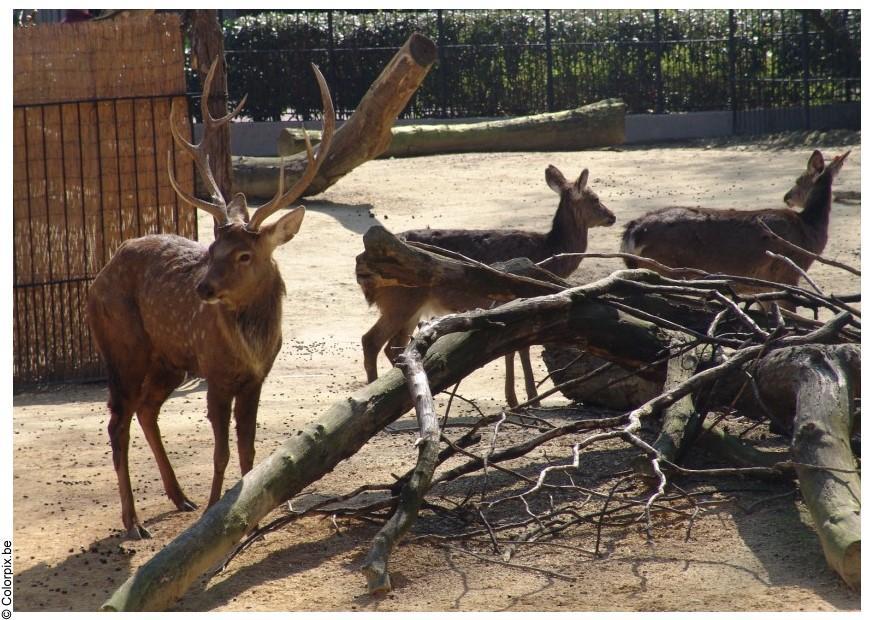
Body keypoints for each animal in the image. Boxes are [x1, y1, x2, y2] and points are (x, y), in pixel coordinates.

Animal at [86, 60, 336, 540]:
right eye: (212, 249)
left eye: (244, 254)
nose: (202, 289)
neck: (249, 348)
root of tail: (97, 278)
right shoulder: (216, 374)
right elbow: (221, 450)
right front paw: (214, 512)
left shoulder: (256, 378)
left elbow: (248, 445)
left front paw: (254, 512)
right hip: (123, 347)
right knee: (117, 420)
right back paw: (133, 522)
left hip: (170, 359)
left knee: (146, 409)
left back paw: (178, 496)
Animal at [356, 165, 616, 406]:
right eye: (595, 198)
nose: (612, 216)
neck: (549, 253)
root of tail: (362, 268)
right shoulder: (513, 298)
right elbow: (520, 348)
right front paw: (530, 399)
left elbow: (511, 348)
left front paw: (514, 399)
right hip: (401, 300)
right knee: (372, 341)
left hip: (411, 305)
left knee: (394, 347)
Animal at [624, 148, 848, 308]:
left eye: (799, 180)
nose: (787, 197)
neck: (810, 232)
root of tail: (634, 231)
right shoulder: (788, 274)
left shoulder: (764, 285)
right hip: (667, 268)